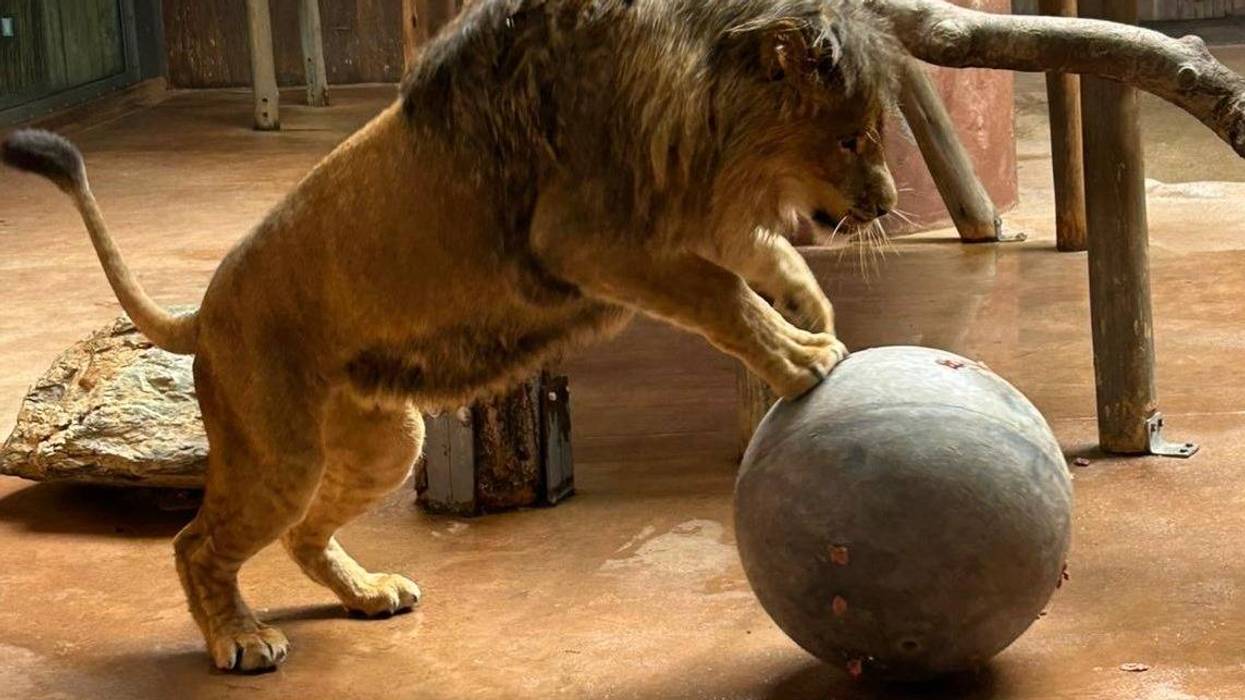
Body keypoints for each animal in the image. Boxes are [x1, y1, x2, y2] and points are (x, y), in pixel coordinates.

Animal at [1, 0, 898, 673]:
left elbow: (760, 252)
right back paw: (241, 637)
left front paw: (808, 306)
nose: (888, 203)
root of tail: (204, 311)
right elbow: (723, 294)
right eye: (853, 137)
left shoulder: (675, 211)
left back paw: (368, 593)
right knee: (196, 543)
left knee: (301, 534)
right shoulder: (589, 238)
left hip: (381, 441)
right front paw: (804, 356)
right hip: (276, 455)